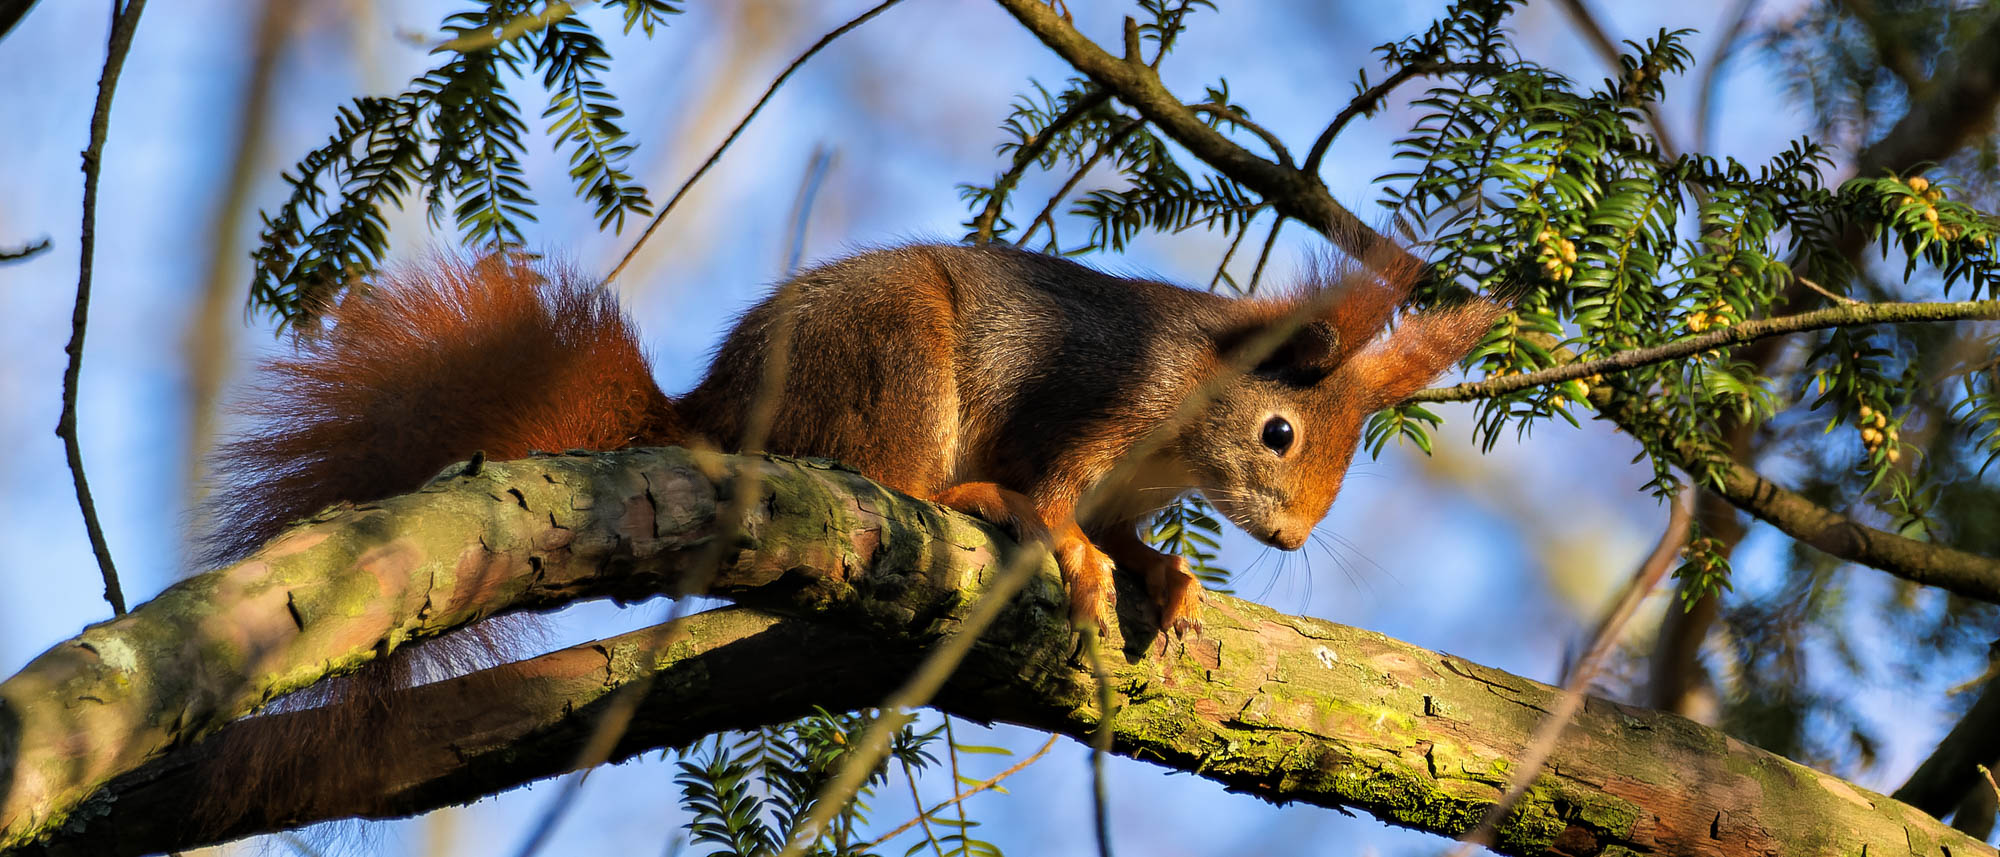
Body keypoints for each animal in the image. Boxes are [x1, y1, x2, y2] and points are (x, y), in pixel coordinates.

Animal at [203, 241, 1504, 636]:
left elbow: (1134, 533)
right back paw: (974, 497)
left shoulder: (1133, 478)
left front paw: (1165, 574)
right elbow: (1054, 491)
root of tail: (719, 408)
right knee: (889, 476)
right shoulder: (1092, 407)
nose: (1287, 538)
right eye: (1280, 431)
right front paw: (1078, 554)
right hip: (896, 361)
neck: (1183, 424)